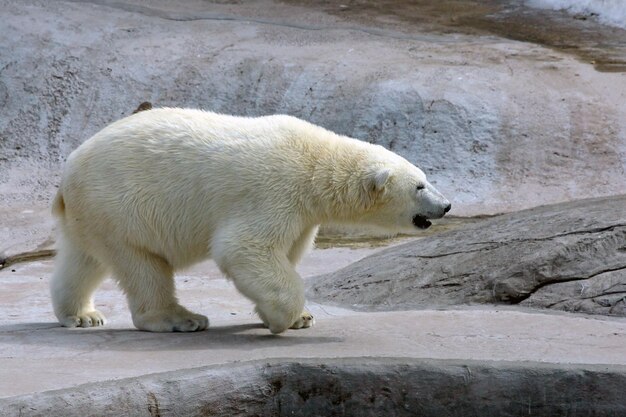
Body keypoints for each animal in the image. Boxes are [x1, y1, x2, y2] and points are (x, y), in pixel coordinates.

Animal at [48, 107, 448, 332]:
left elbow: (285, 253)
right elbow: (245, 248)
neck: (316, 165)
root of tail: (67, 176)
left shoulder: (302, 216)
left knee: (85, 260)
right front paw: (286, 318)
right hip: (122, 205)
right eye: (419, 185)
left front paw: (298, 317)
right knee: (142, 265)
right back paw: (181, 319)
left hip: (96, 215)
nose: (445, 205)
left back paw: (81, 315)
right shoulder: (274, 191)